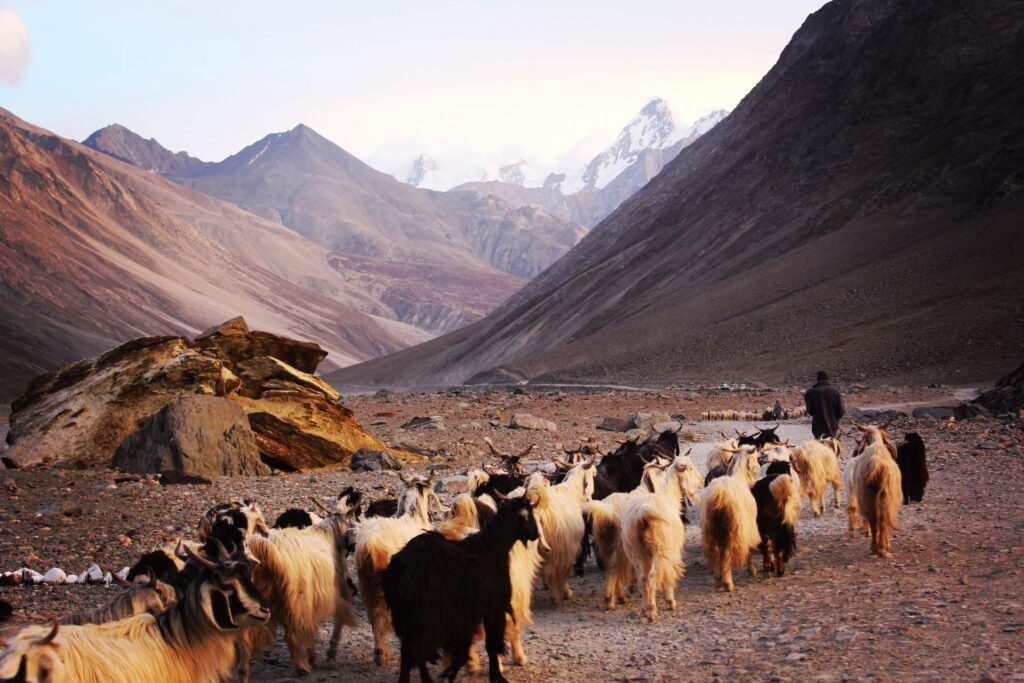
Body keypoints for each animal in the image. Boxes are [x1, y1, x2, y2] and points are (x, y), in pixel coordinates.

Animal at [385, 497, 544, 683]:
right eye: (529, 515)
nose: (536, 534)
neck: (490, 549)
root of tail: (399, 569)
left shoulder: (467, 616)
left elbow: (465, 650)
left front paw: (451, 673)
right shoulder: (492, 609)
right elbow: (491, 644)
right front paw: (496, 676)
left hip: (406, 617)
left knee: (408, 652)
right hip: (424, 618)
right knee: (418, 650)